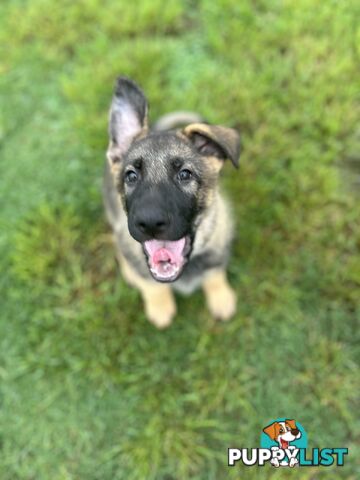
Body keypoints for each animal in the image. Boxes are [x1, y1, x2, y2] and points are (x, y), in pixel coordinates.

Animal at [102, 77, 240, 328]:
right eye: (131, 176)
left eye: (185, 174)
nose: (149, 223)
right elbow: (150, 284)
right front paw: (159, 305)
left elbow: (215, 273)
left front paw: (221, 298)